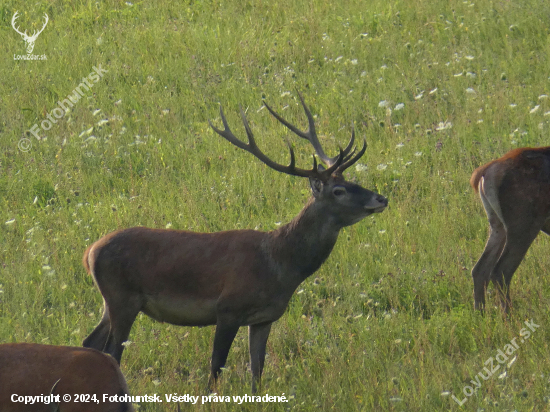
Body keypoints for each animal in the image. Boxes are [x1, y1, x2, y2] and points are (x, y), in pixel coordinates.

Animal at [84, 93, 390, 392]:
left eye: (353, 181)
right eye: (338, 190)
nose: (381, 198)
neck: (280, 264)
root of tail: (89, 253)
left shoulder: (265, 318)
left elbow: (257, 371)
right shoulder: (228, 308)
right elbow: (216, 368)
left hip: (111, 301)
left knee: (91, 343)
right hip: (123, 297)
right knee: (113, 351)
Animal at [472, 146, 550, 310]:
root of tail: (485, 172)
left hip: (497, 225)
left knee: (480, 270)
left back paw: (480, 314)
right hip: (523, 224)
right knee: (501, 271)